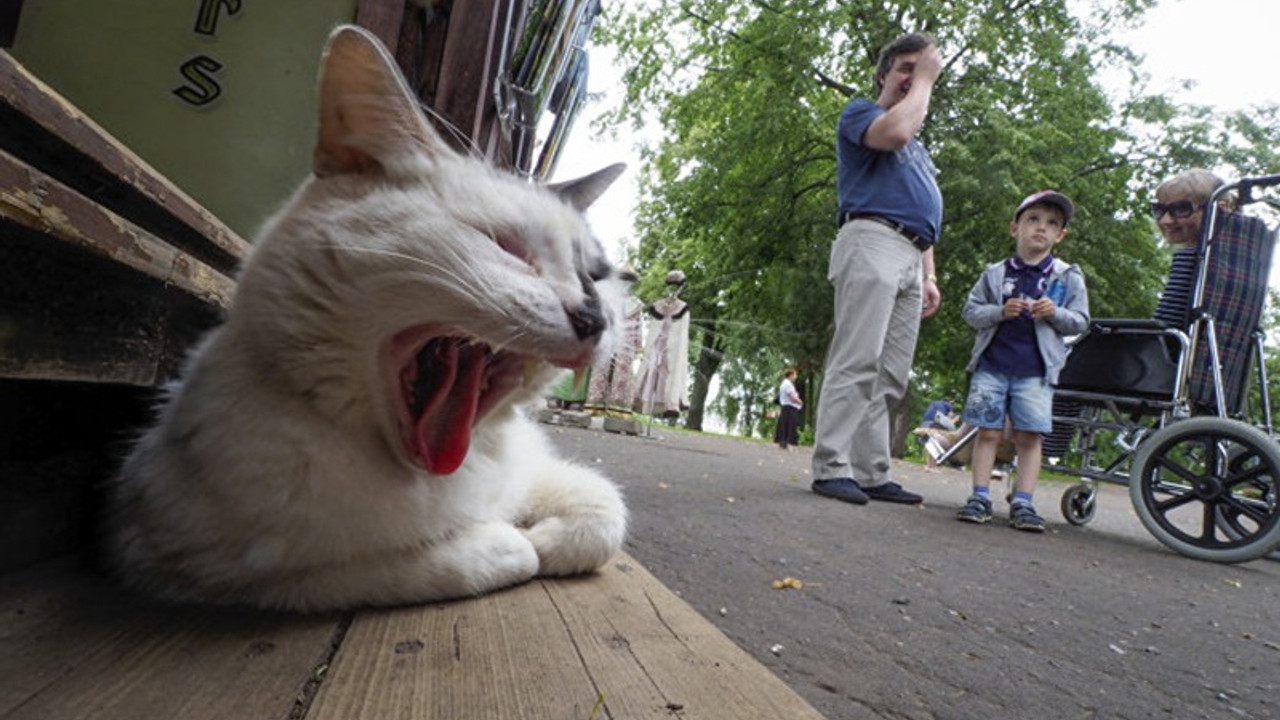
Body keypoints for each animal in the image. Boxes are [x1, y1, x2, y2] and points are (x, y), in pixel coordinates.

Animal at [104, 25, 629, 607]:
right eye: (505, 246)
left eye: (595, 275)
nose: (594, 317)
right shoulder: (183, 562)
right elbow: (420, 562)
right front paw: (510, 541)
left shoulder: (532, 467)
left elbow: (606, 508)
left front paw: (549, 537)